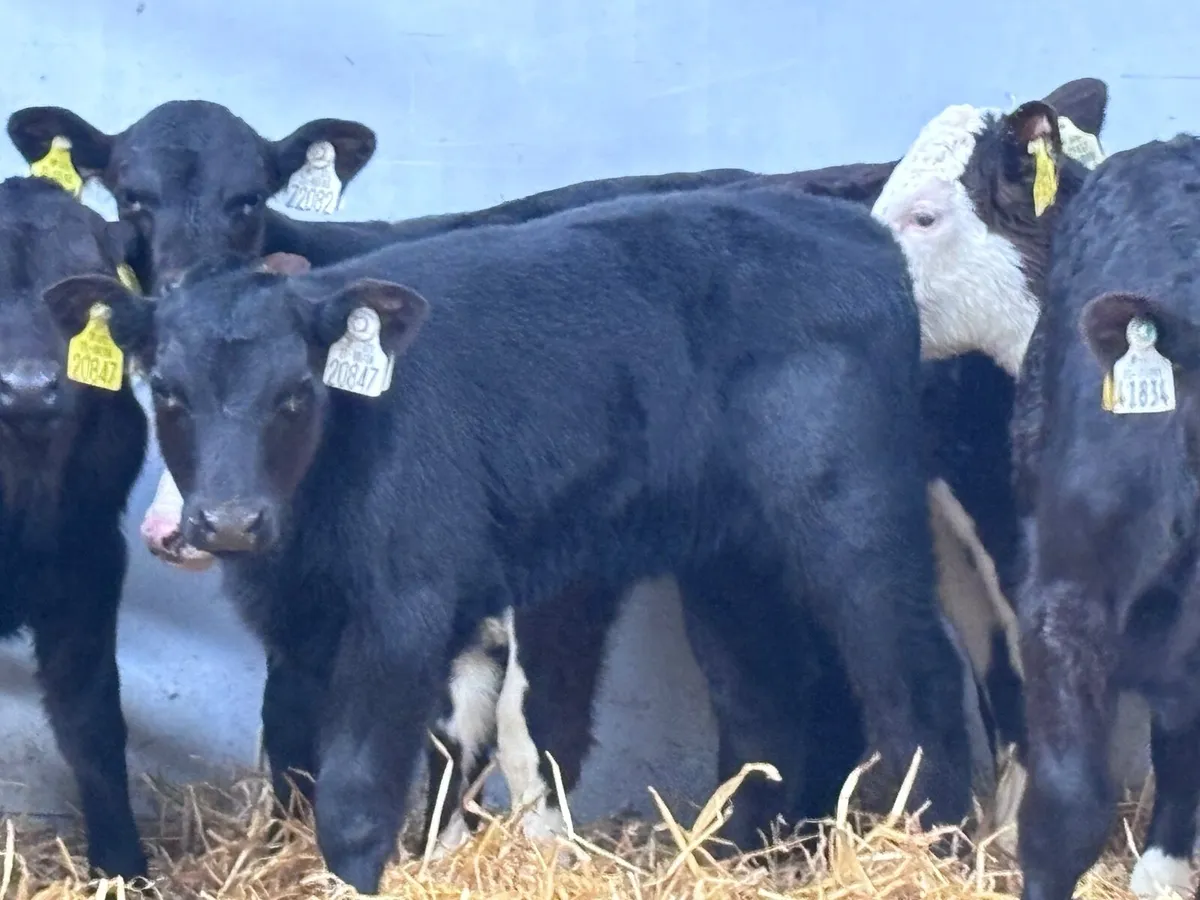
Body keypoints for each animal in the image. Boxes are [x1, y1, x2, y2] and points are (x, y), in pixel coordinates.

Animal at [57, 181, 979, 893]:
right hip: (732, 555)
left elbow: (359, 792)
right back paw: (730, 863)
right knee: (766, 702)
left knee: (915, 679)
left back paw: (936, 852)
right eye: (165, 390)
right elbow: (358, 756)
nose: (226, 519)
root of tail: (849, 228)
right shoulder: (328, 620)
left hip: (853, 513)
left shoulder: (406, 605)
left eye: (295, 392)